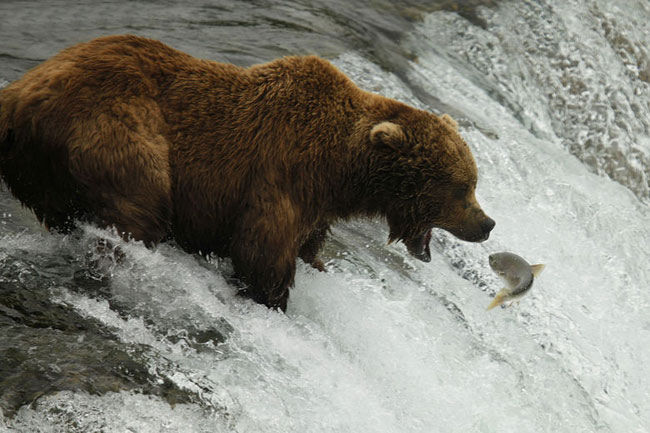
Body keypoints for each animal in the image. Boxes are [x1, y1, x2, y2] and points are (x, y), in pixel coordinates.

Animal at [0, 35, 492, 308]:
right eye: (461, 187)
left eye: (473, 183)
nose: (486, 224)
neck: (343, 171)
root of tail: (20, 92)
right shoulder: (282, 173)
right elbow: (262, 252)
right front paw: (271, 300)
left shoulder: (316, 204)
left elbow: (307, 247)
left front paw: (314, 266)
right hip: (115, 125)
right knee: (139, 204)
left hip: (35, 167)